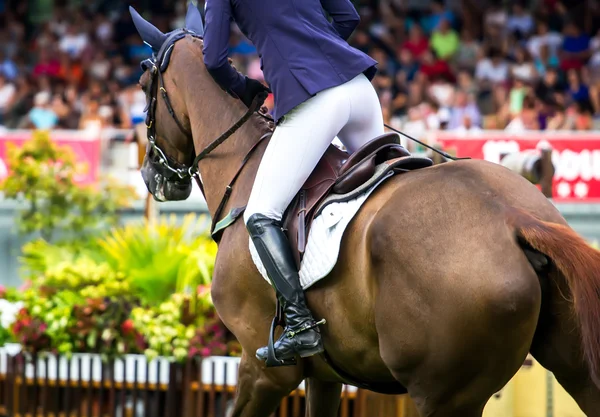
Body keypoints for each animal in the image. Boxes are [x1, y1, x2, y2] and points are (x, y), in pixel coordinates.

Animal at [134, 7, 600, 416]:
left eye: (142, 82)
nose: (152, 175)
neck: (245, 166)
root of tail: (516, 218)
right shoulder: (324, 376)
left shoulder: (261, 368)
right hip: (575, 366)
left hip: (444, 396)